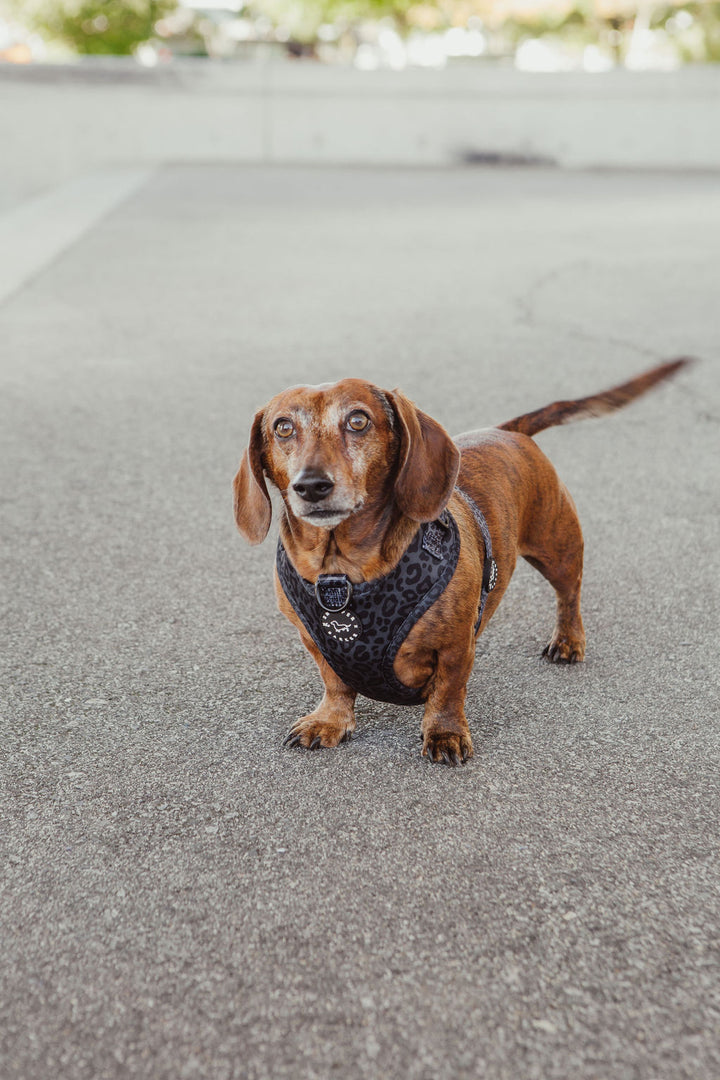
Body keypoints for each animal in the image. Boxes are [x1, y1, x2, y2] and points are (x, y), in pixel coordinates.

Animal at [234, 358, 690, 764]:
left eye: (358, 421)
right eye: (283, 427)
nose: (311, 486)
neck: (341, 574)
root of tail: (508, 431)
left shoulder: (456, 645)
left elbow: (448, 692)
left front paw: (445, 733)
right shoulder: (314, 642)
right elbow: (335, 684)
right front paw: (329, 720)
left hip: (558, 548)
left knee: (570, 594)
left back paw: (568, 640)